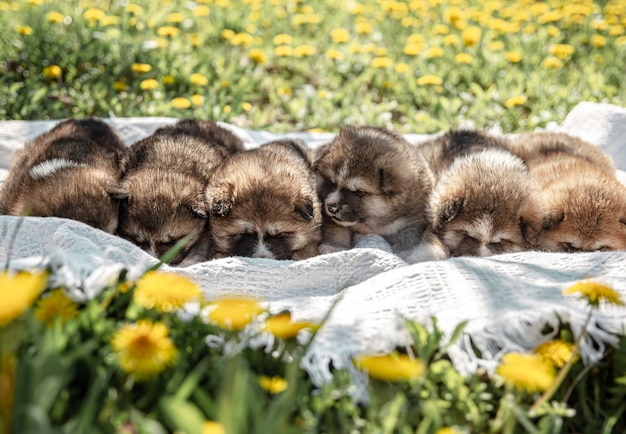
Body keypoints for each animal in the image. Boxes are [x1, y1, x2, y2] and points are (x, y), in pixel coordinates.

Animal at [314, 125, 432, 254]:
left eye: (360, 192)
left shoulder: (413, 222)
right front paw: (334, 247)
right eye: (331, 183)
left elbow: (406, 238)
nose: (332, 207)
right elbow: (336, 229)